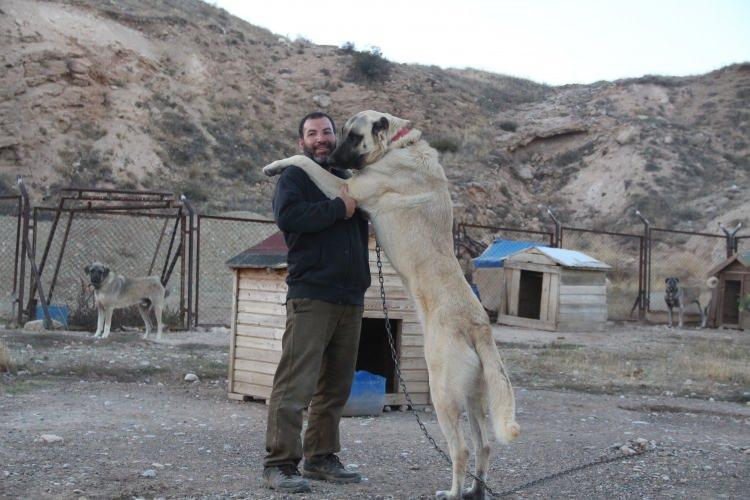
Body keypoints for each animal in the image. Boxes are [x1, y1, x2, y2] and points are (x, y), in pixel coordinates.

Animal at [266, 111, 524, 498]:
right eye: (336, 133)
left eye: (352, 136)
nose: (331, 157)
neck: (400, 146)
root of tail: (477, 326)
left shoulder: (348, 191)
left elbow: (302, 161)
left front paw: (275, 165)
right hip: (474, 398)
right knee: (484, 445)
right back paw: (473, 492)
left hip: (443, 394)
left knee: (461, 449)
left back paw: (451, 492)